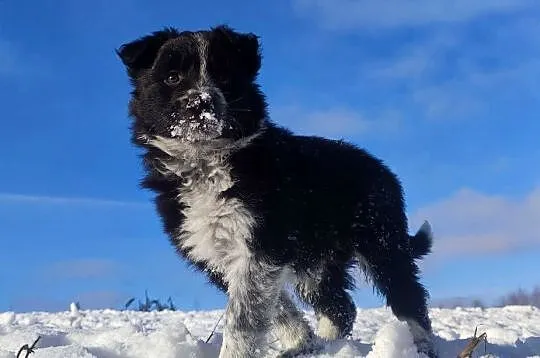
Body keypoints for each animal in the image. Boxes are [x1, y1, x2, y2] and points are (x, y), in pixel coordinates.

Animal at [118, 25, 438, 358]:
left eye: (225, 76)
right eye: (172, 77)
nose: (201, 103)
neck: (207, 162)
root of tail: (381, 169)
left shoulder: (260, 244)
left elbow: (243, 318)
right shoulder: (218, 252)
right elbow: (274, 306)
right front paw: (301, 342)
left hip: (381, 242)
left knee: (408, 297)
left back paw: (421, 347)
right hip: (317, 262)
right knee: (339, 306)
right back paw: (327, 347)